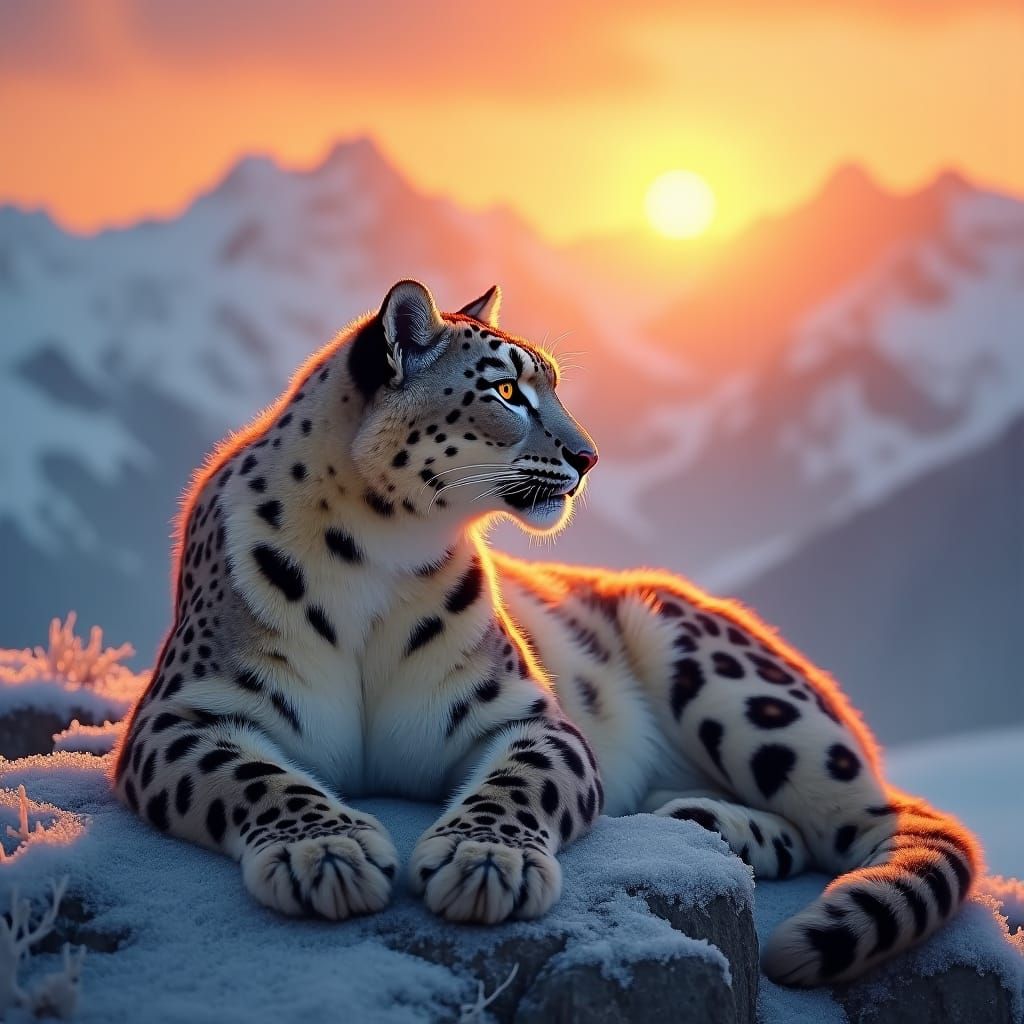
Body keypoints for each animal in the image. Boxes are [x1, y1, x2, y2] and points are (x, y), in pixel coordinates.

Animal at [113, 279, 980, 987]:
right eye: (504, 389)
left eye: (552, 383)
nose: (589, 456)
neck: (376, 554)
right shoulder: (181, 715)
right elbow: (253, 777)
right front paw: (325, 853)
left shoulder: (526, 716)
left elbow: (517, 784)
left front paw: (483, 865)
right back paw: (694, 818)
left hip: (735, 685)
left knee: (870, 822)